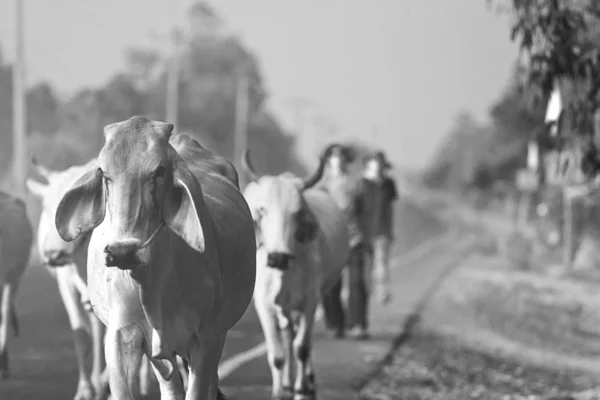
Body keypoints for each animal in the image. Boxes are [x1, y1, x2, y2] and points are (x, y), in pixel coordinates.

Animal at [240, 148, 350, 398]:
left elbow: (303, 347)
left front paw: (301, 388)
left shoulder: (310, 301)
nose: (278, 257)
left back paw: (306, 380)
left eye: (297, 212)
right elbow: (277, 355)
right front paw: (279, 391)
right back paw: (288, 382)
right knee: (289, 334)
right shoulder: (264, 305)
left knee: (300, 338)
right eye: (263, 209)